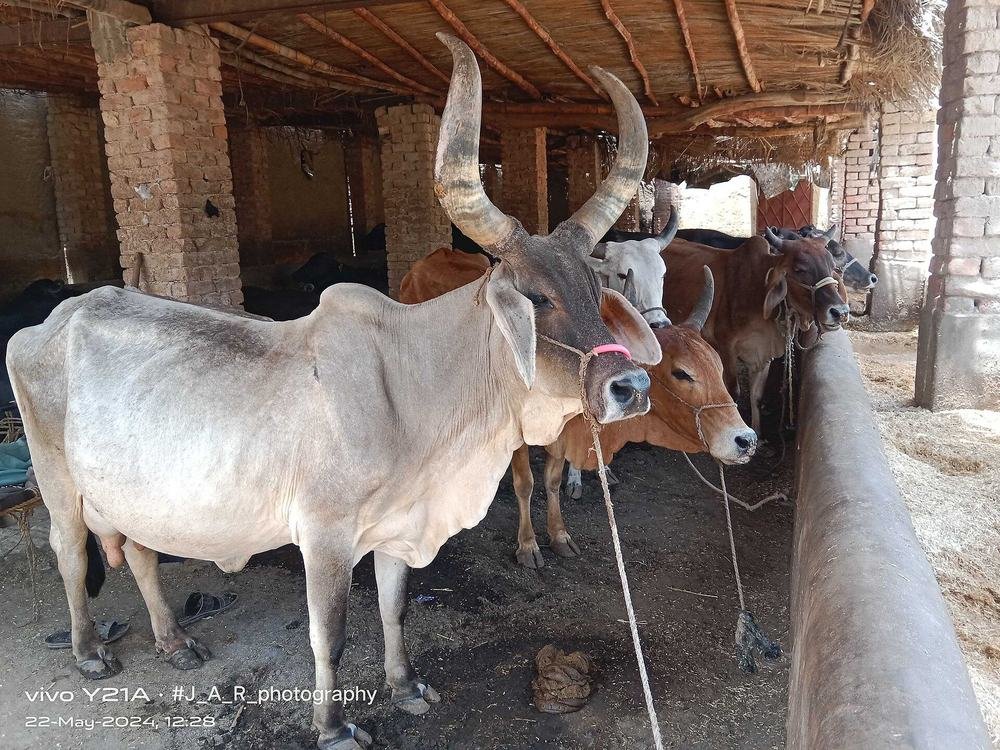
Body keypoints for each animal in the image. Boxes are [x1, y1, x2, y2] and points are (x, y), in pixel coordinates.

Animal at [6, 35, 659, 750]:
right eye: (537, 298)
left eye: (597, 290)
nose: (630, 386)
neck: (413, 388)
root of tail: (53, 318)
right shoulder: (323, 535)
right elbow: (331, 636)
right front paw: (333, 724)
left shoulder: (399, 526)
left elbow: (395, 609)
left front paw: (406, 686)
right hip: (58, 481)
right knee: (71, 555)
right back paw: (88, 650)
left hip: (135, 489)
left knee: (145, 554)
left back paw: (174, 641)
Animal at [662, 229, 850, 434]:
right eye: (799, 269)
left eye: (831, 265)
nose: (840, 312)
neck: (756, 291)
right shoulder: (726, 347)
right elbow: (733, 392)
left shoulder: (763, 353)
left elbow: (757, 397)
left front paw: (758, 433)